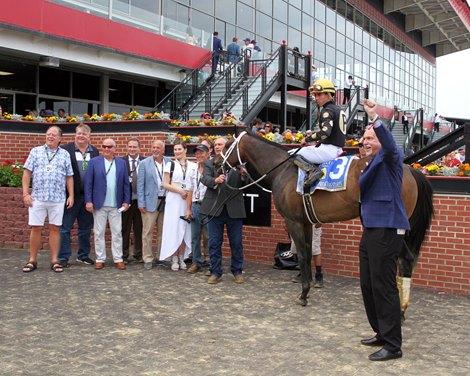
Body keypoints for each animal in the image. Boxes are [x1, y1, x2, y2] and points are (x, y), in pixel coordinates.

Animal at [222, 131, 436, 318]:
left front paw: (304, 294)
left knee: (405, 259)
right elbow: (309, 253)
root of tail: (410, 169)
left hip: (394, 227)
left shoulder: (293, 222)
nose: (217, 163)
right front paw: (308, 287)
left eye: (226, 146)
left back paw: (400, 308)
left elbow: (302, 255)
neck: (283, 169)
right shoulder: (306, 222)